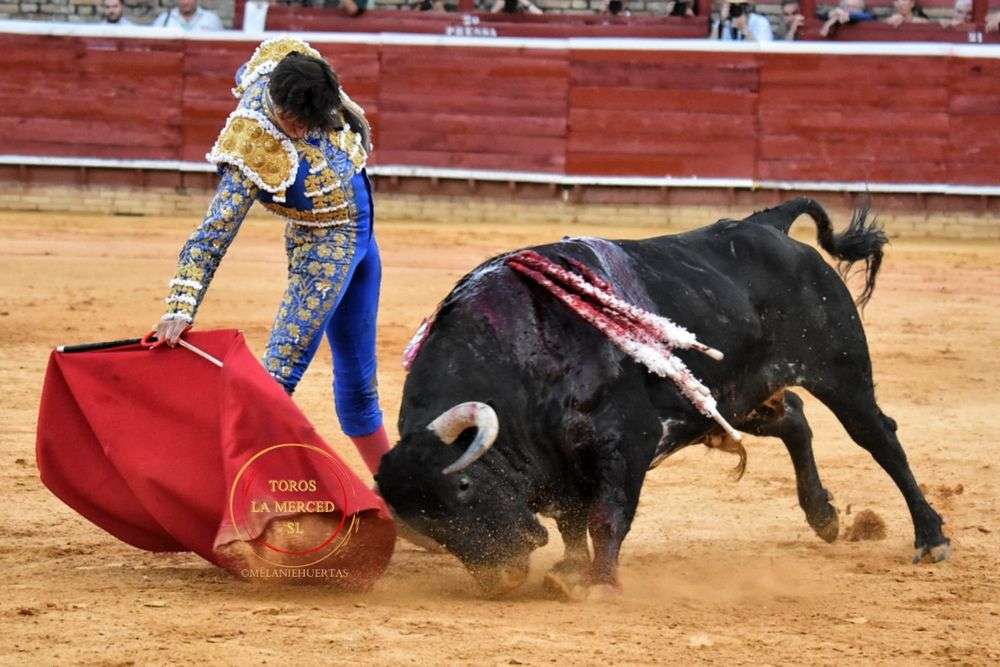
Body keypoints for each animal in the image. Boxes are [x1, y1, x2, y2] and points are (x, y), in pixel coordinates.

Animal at [375, 198, 950, 599]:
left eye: (465, 486)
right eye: (426, 526)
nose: (502, 578)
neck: (523, 349)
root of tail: (767, 224)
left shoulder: (625, 440)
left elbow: (605, 516)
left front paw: (598, 583)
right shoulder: (562, 459)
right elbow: (571, 521)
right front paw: (569, 570)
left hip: (839, 371)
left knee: (879, 438)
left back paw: (931, 537)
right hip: (730, 398)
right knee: (794, 419)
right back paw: (824, 516)